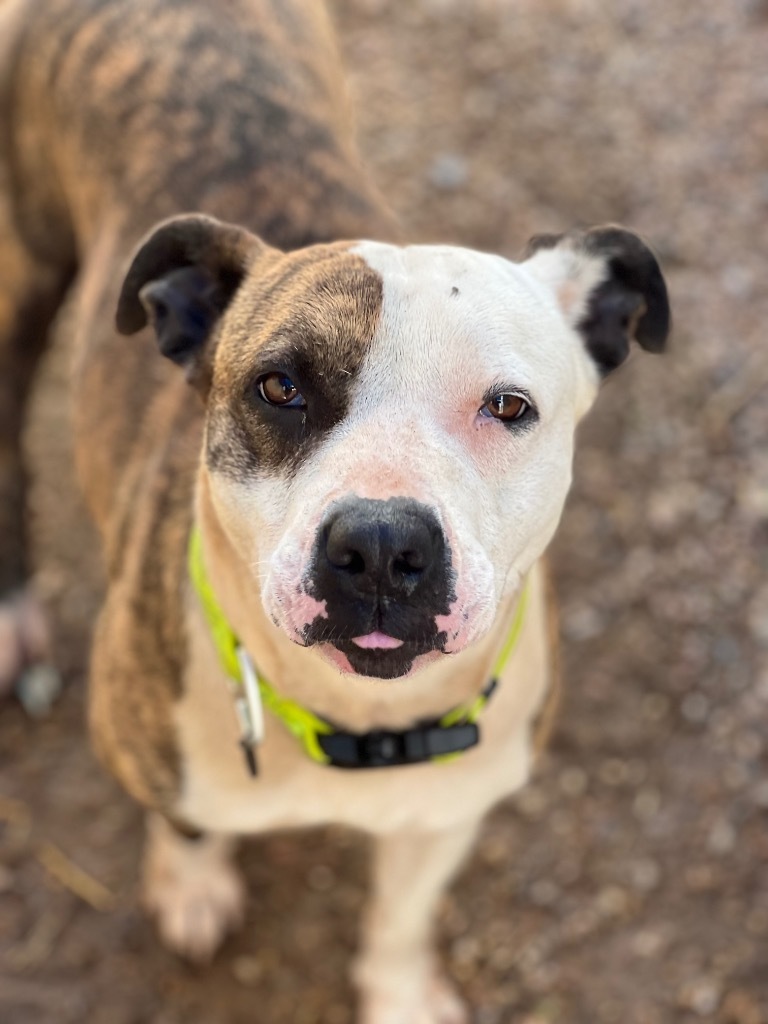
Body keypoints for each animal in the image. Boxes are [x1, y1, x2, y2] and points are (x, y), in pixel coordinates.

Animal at [0, 0, 671, 1019]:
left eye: (509, 407)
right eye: (279, 388)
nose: (384, 545)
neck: (355, 722)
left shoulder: (447, 815)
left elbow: (398, 920)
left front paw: (399, 995)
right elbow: (186, 824)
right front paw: (192, 885)